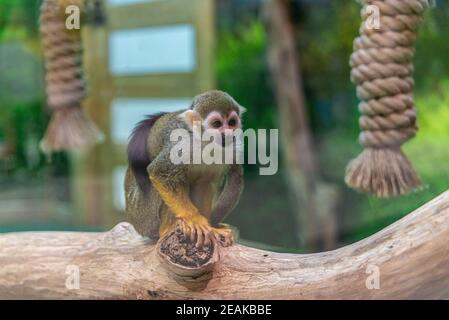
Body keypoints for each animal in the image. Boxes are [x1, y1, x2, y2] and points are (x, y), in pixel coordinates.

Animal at [124, 90, 243, 248]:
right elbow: (159, 172)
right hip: (145, 217)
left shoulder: (234, 147)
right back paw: (167, 229)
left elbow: (235, 178)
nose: (229, 134)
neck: (205, 142)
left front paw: (213, 226)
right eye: (217, 124)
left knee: (202, 182)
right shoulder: (183, 144)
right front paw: (194, 219)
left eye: (232, 123)